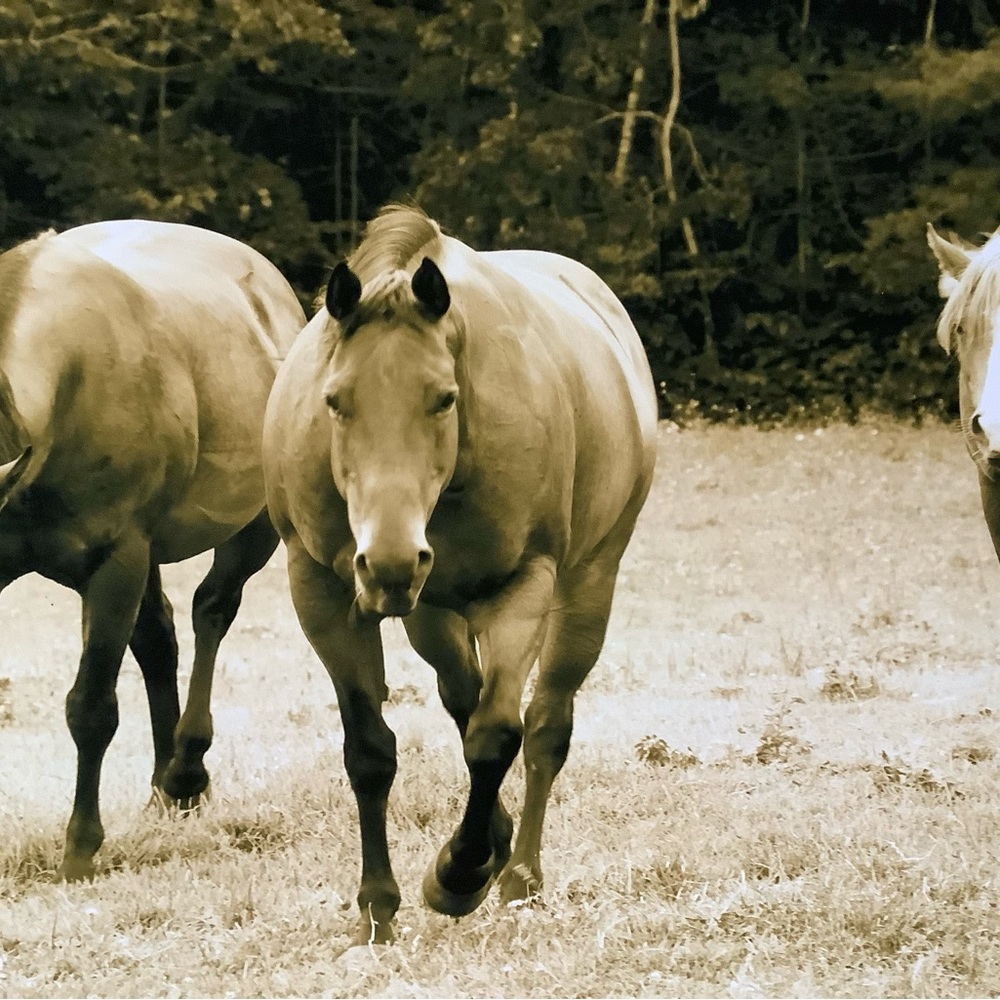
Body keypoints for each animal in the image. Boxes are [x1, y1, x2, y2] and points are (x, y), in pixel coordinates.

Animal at [0, 219, 306, 879]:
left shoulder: (117, 560)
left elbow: (92, 707)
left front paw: (80, 849)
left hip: (251, 530)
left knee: (212, 610)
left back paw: (186, 770)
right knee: (159, 641)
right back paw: (167, 788)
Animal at [263, 204, 658, 943]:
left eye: (443, 398)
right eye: (335, 400)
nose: (390, 560)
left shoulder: (522, 587)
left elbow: (496, 736)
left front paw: (458, 874)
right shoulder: (321, 592)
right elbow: (370, 750)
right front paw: (378, 906)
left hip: (585, 583)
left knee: (544, 726)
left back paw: (519, 874)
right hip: (432, 612)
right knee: (460, 692)